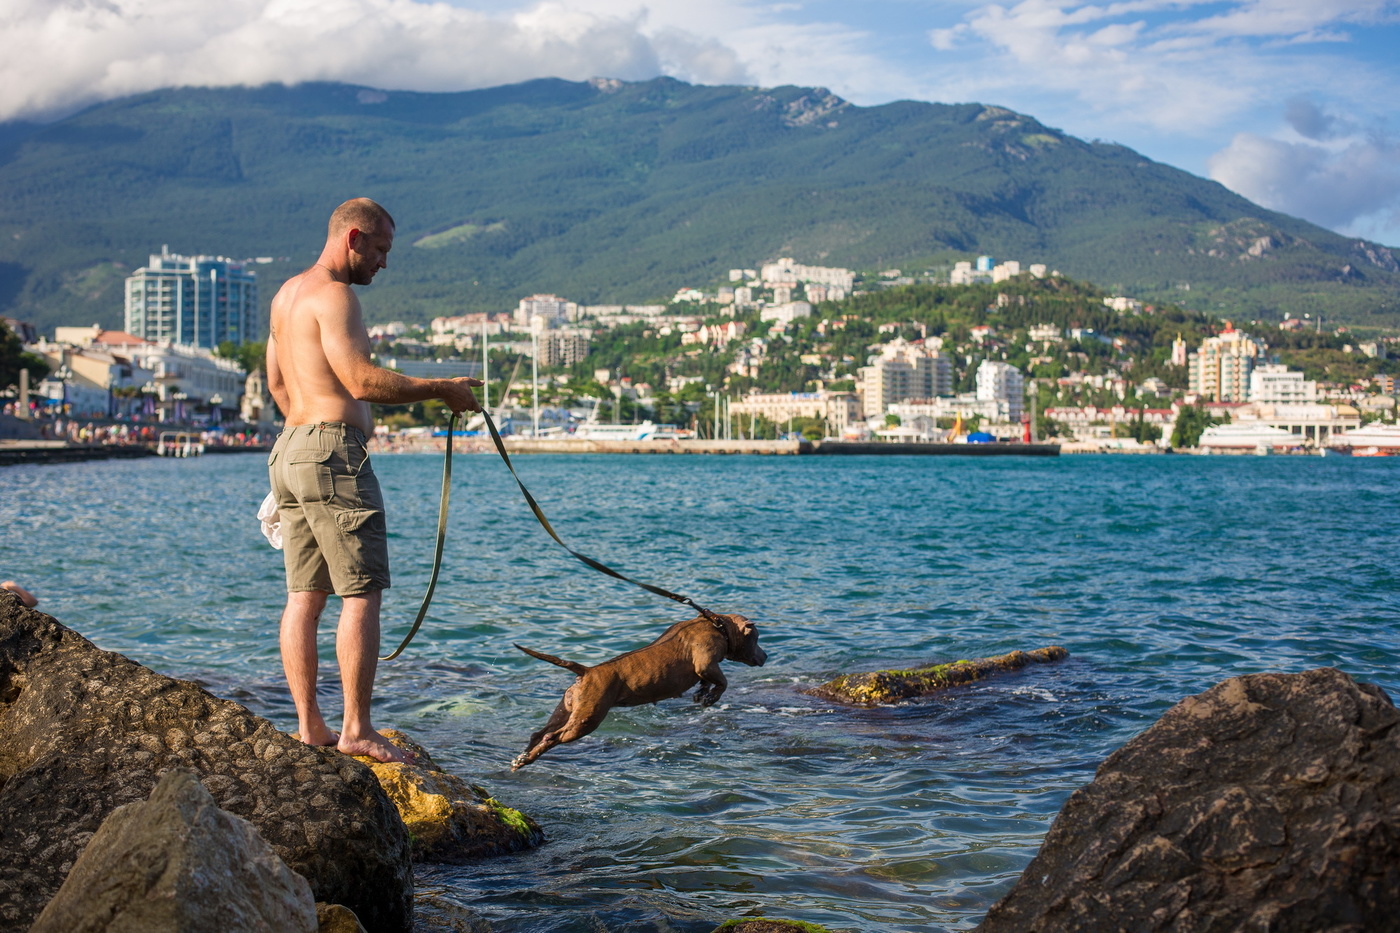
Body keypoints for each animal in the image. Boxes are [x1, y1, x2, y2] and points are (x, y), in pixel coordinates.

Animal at [509, 610, 767, 767]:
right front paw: (711, 697)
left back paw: (522, 756)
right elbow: (723, 682)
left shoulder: (704, 670)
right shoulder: (706, 664)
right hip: (586, 720)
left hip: (566, 710)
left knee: (539, 733)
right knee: (552, 737)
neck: (718, 626)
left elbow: (707, 683)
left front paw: (703, 694)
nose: (766, 655)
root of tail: (587, 671)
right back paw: (527, 760)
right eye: (757, 638)